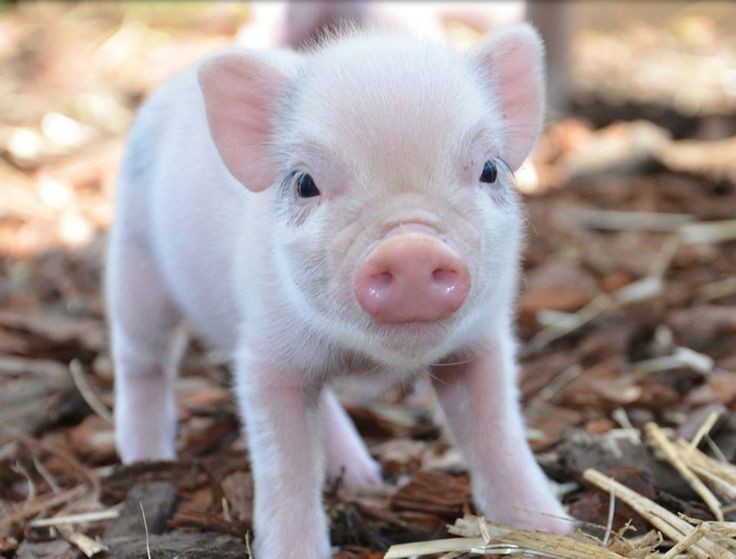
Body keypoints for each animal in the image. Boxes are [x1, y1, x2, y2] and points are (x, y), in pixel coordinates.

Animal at [106, 23, 570, 559]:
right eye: (305, 183)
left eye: (490, 170)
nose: (411, 249)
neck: (370, 364)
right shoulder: (265, 357)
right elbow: (286, 466)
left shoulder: (482, 342)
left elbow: (497, 431)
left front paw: (552, 529)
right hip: (135, 264)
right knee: (141, 362)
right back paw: (144, 460)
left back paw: (366, 480)